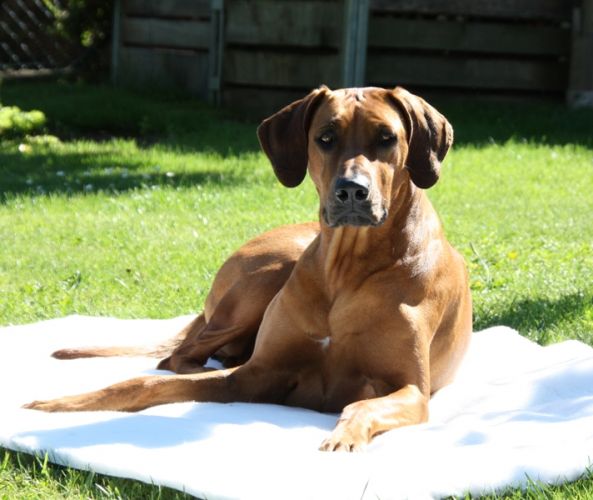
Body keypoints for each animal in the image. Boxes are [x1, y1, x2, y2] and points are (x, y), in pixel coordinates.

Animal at [24, 86, 472, 452]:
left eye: (387, 138)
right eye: (325, 138)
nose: (351, 191)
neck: (347, 266)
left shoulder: (411, 390)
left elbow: (361, 404)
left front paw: (342, 438)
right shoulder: (257, 373)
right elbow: (146, 382)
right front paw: (61, 404)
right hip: (265, 278)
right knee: (178, 356)